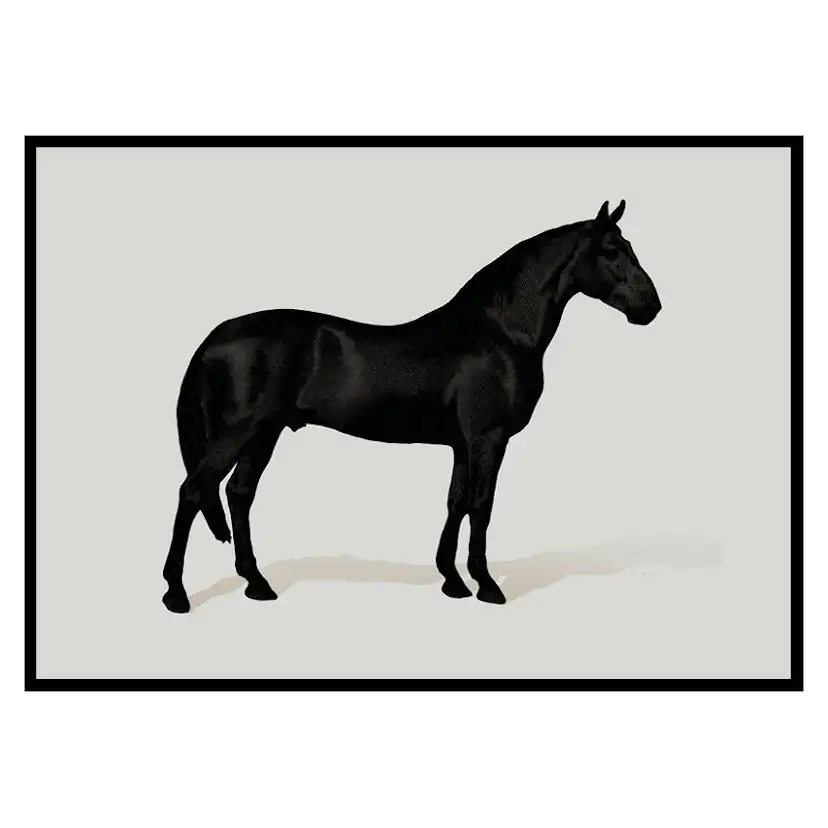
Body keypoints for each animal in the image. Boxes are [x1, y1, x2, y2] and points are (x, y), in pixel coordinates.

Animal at [162, 199, 661, 613]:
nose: (651, 306)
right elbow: (482, 505)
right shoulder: (488, 438)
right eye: (612, 251)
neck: (500, 332)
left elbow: (456, 503)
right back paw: (176, 594)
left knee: (238, 494)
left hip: (264, 433)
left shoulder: (462, 444)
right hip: (238, 432)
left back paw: (257, 583)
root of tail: (216, 336)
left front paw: (453, 581)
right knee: (193, 491)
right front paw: (487, 586)